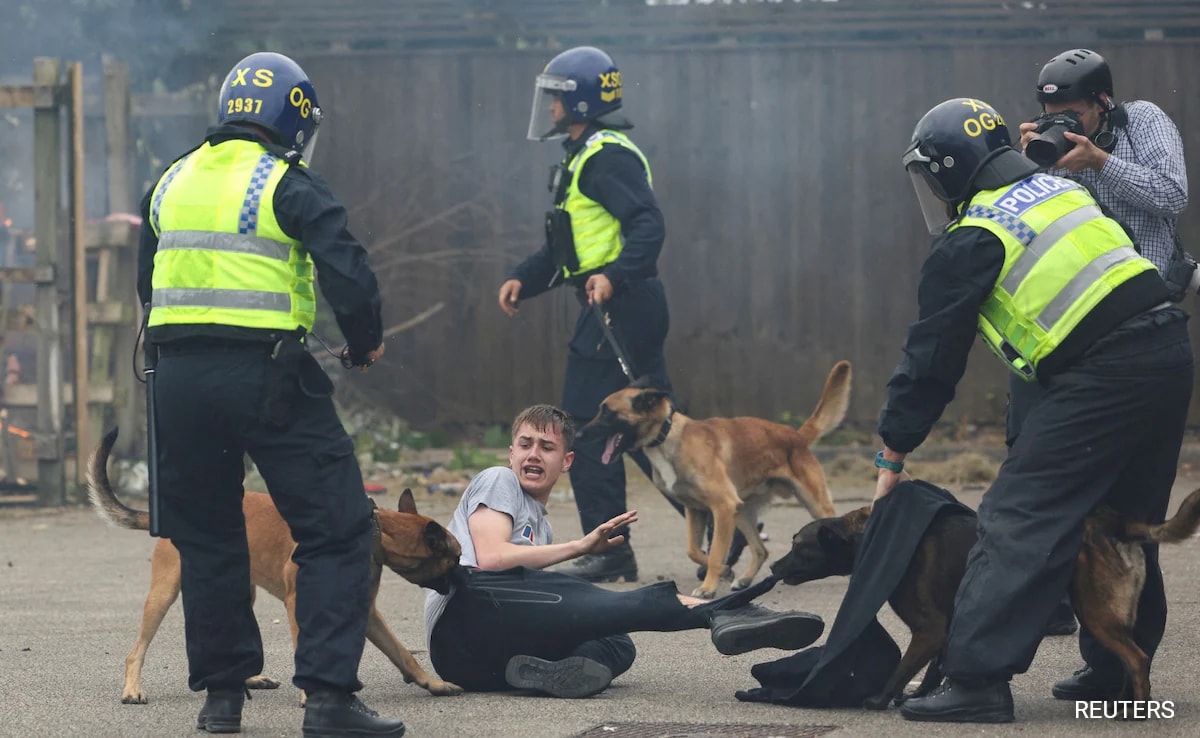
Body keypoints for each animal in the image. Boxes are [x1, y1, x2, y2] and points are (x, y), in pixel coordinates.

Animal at [85, 429, 463, 705]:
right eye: (455, 558)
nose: (464, 579)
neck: (374, 530)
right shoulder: (300, 604)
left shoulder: (367, 613)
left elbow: (403, 653)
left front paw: (433, 683)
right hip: (164, 592)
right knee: (136, 650)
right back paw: (133, 689)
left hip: (240, 592)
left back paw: (248, 678)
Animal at [583, 362, 854, 600]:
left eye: (607, 413)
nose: (579, 433)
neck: (667, 435)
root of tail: (796, 435)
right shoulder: (697, 510)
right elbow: (694, 550)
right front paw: (724, 570)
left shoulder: (721, 507)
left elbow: (713, 554)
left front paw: (708, 587)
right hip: (741, 512)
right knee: (760, 549)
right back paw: (744, 579)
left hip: (812, 504)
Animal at [768, 492, 1200, 710]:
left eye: (798, 547)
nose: (772, 565)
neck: (866, 534)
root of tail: (1114, 521)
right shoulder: (946, 628)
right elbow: (934, 669)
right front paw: (922, 697)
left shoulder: (929, 630)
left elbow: (902, 669)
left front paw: (879, 699)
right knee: (1133, 657)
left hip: (1095, 613)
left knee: (1137, 658)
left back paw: (1136, 711)